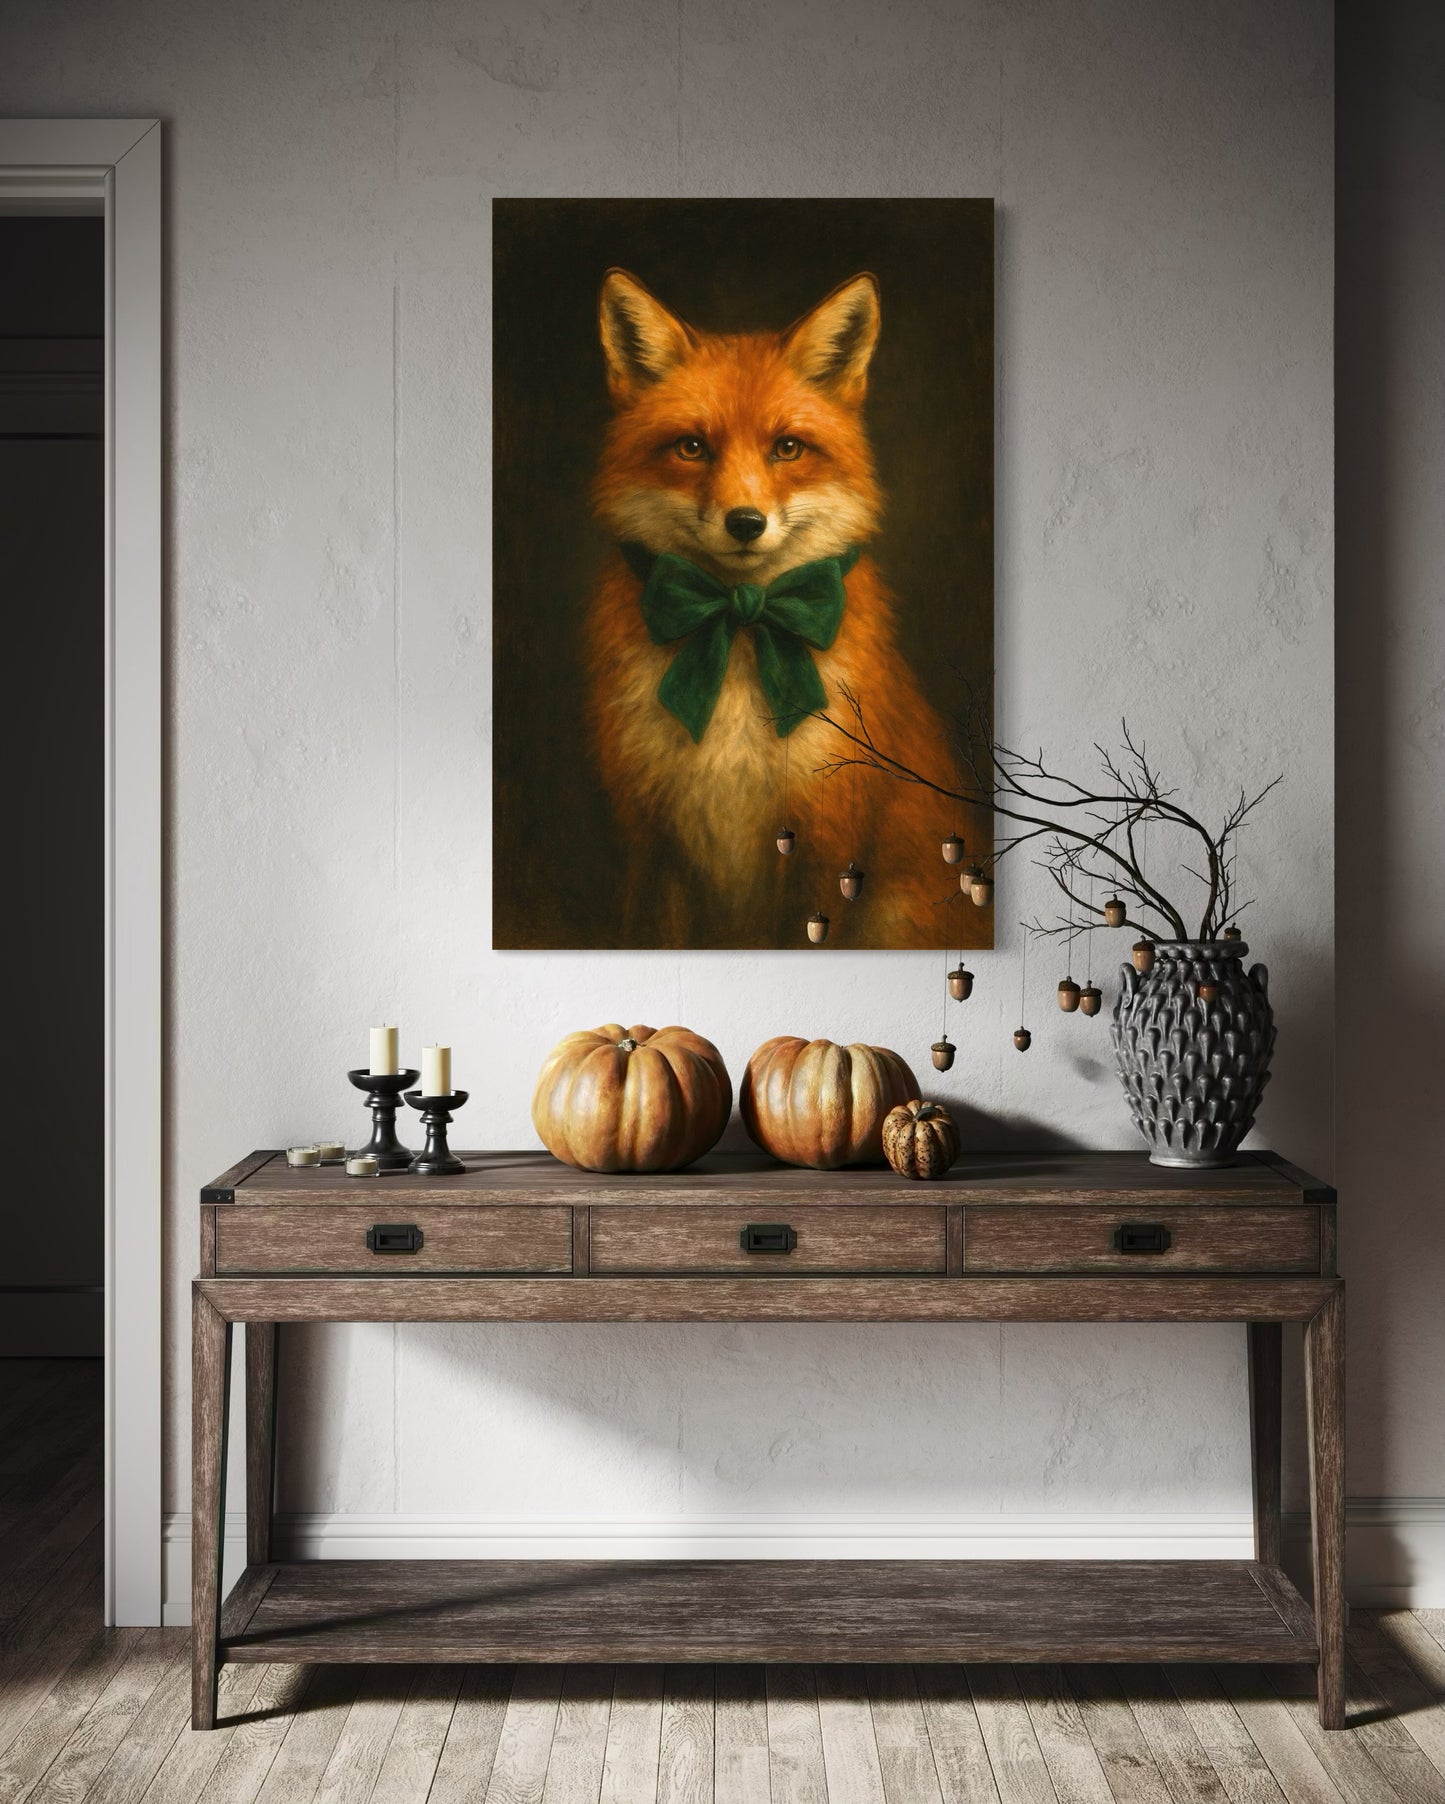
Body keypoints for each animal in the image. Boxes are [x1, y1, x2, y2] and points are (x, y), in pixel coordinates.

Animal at [585, 267, 990, 950]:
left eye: (788, 448)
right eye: (691, 447)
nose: (746, 523)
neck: (741, 627)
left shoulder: (825, 838)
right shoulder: (653, 841)